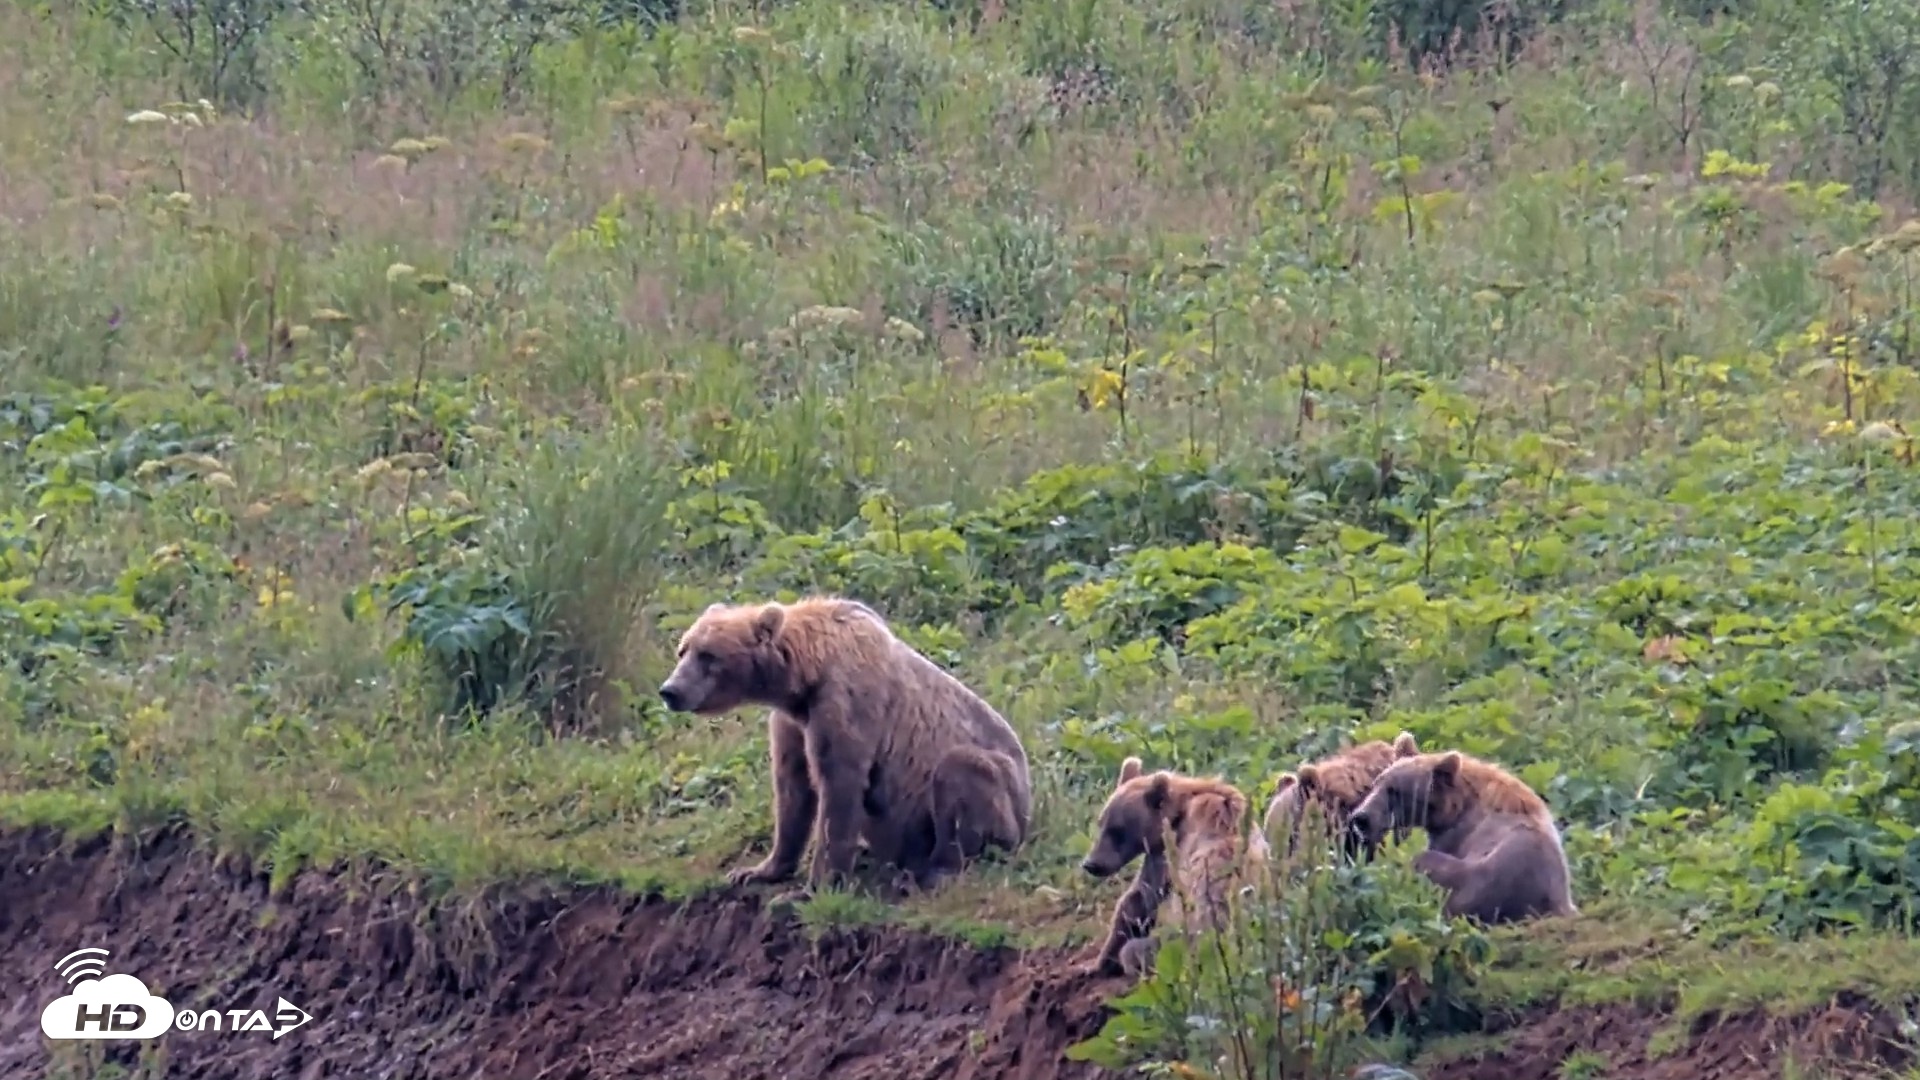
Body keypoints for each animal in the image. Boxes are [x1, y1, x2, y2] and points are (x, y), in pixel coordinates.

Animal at [657, 595, 1033, 900]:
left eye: (708, 655)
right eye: (683, 649)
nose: (670, 690)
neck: (803, 677)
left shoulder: (845, 703)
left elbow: (838, 789)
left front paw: (809, 889)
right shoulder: (793, 722)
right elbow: (792, 789)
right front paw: (756, 871)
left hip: (1001, 788)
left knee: (960, 774)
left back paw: (934, 871)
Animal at [1080, 756, 1260, 978]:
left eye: (1117, 830)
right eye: (1101, 823)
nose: (1091, 864)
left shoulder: (1171, 848)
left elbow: (1141, 897)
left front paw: (1098, 963)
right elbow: (1141, 898)